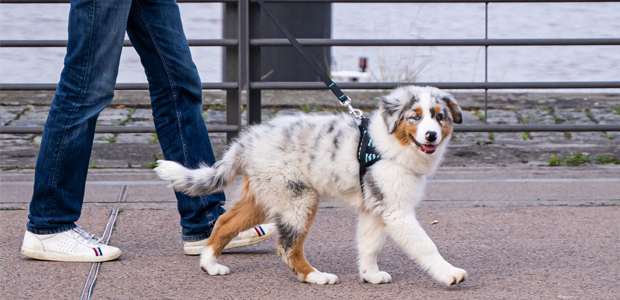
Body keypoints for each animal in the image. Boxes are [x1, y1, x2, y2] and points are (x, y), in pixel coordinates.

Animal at [155, 85, 464, 286]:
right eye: (415, 117)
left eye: (440, 117)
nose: (431, 136)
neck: (391, 144)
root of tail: (248, 140)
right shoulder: (396, 210)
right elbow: (425, 245)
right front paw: (449, 273)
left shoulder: (375, 206)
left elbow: (369, 244)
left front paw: (370, 275)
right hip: (298, 199)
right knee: (287, 247)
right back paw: (316, 276)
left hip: (266, 195)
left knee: (224, 222)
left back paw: (209, 264)